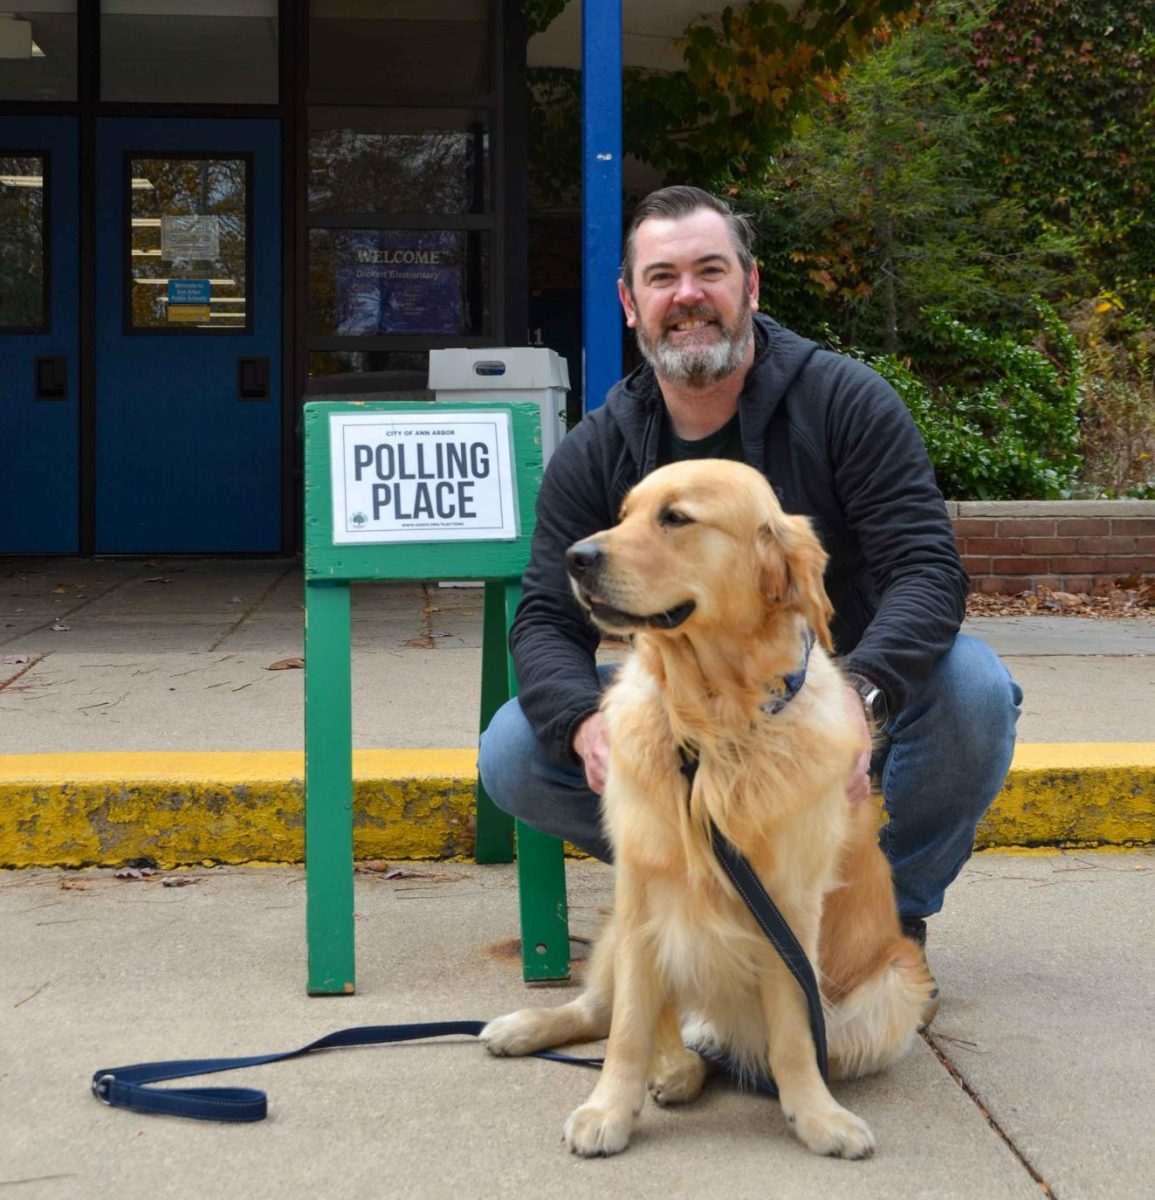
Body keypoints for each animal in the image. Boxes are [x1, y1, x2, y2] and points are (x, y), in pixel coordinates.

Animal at [477, 456, 936, 1152]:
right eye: (624, 514)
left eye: (676, 517)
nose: (575, 557)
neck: (710, 725)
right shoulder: (642, 891)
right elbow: (628, 1028)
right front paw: (609, 1108)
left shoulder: (788, 906)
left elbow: (794, 1037)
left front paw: (817, 1116)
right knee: (598, 1010)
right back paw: (527, 1028)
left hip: (891, 994)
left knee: (735, 1045)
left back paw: (688, 1066)